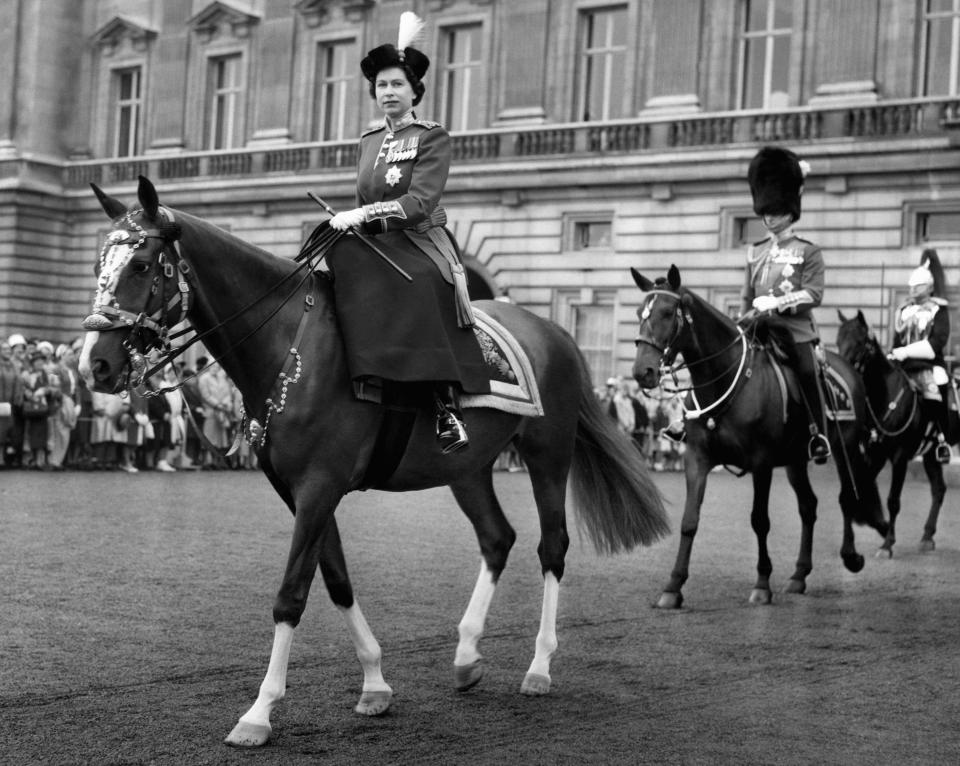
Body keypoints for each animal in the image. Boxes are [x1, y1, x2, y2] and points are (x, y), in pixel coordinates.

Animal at [77, 178, 668, 752]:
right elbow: (337, 581)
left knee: (552, 548)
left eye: (141, 264)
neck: (289, 343)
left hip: (548, 455)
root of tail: (553, 331)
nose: (95, 366)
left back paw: (539, 666)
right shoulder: (300, 490)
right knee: (497, 538)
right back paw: (467, 655)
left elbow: (291, 595)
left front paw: (259, 712)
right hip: (468, 468)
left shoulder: (320, 487)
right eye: (98, 262)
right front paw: (375, 683)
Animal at [632, 268, 884, 608]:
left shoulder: (761, 463)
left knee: (846, 497)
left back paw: (850, 557)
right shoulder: (697, 458)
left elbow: (760, 520)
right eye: (639, 313)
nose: (641, 371)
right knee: (809, 506)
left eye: (668, 313)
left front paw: (762, 584)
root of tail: (848, 368)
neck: (723, 379)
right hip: (795, 461)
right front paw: (673, 587)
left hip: (846, 450)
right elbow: (689, 520)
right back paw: (799, 574)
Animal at [832, 308, 952, 556]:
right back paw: (927, 537)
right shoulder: (873, 454)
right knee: (938, 489)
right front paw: (877, 528)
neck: (884, 397)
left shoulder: (899, 457)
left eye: (862, 343)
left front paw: (887, 544)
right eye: (838, 341)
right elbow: (859, 490)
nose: (843, 374)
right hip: (930, 454)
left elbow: (893, 501)